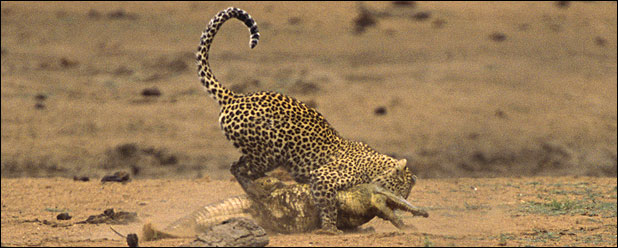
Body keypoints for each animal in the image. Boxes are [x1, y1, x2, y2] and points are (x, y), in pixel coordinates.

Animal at [195, 6, 412, 234]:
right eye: (398, 190)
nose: (397, 204)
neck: (374, 166)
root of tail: (235, 97)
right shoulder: (323, 178)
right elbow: (328, 205)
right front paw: (330, 228)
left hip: (264, 154)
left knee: (238, 165)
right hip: (267, 153)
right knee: (238, 168)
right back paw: (258, 190)